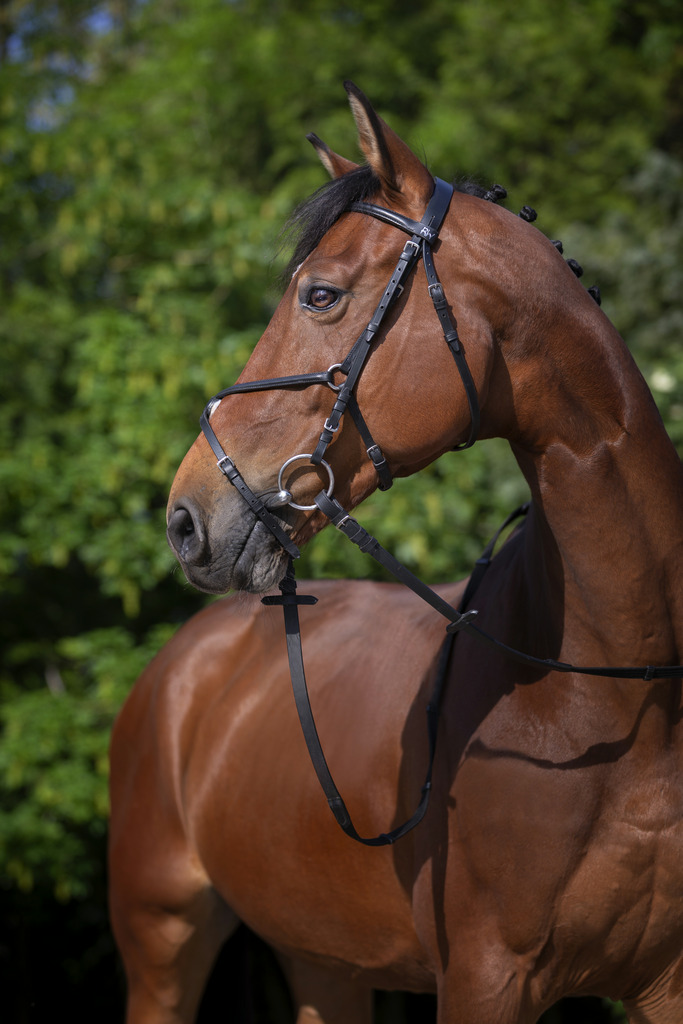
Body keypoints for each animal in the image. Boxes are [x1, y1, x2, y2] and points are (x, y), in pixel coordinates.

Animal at [108, 81, 683, 1024]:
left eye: (320, 295)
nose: (186, 519)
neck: (626, 691)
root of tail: (179, 669)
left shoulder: (661, 983)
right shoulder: (485, 978)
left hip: (325, 967)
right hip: (161, 945)